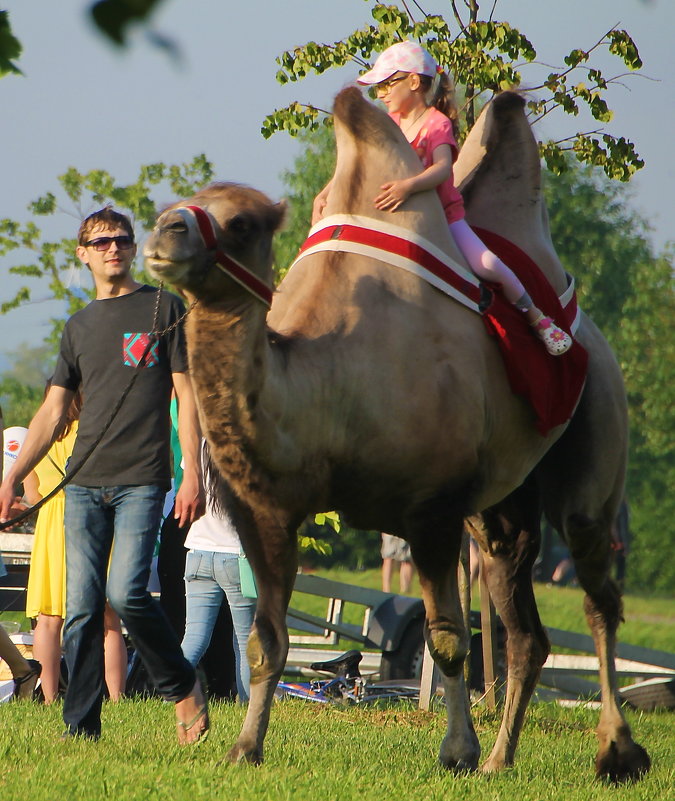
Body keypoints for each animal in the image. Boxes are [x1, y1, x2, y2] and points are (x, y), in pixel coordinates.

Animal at [143, 89, 648, 780]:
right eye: (186, 200)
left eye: (242, 222)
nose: (164, 231)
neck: (328, 386)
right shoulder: (266, 510)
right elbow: (265, 640)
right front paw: (244, 748)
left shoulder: (431, 508)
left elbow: (448, 640)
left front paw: (456, 752)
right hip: (498, 509)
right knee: (524, 625)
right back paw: (500, 761)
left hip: (595, 432)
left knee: (599, 594)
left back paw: (615, 751)